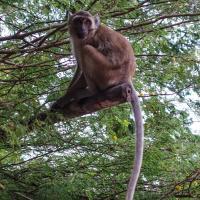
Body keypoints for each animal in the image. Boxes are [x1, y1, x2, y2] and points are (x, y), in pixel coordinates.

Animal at [50, 10, 143, 200]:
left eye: (87, 22)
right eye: (79, 21)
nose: (82, 29)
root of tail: (126, 78)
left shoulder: (86, 41)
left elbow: (83, 63)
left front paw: (65, 98)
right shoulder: (77, 40)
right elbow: (79, 68)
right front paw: (65, 96)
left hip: (107, 73)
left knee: (88, 52)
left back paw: (89, 92)